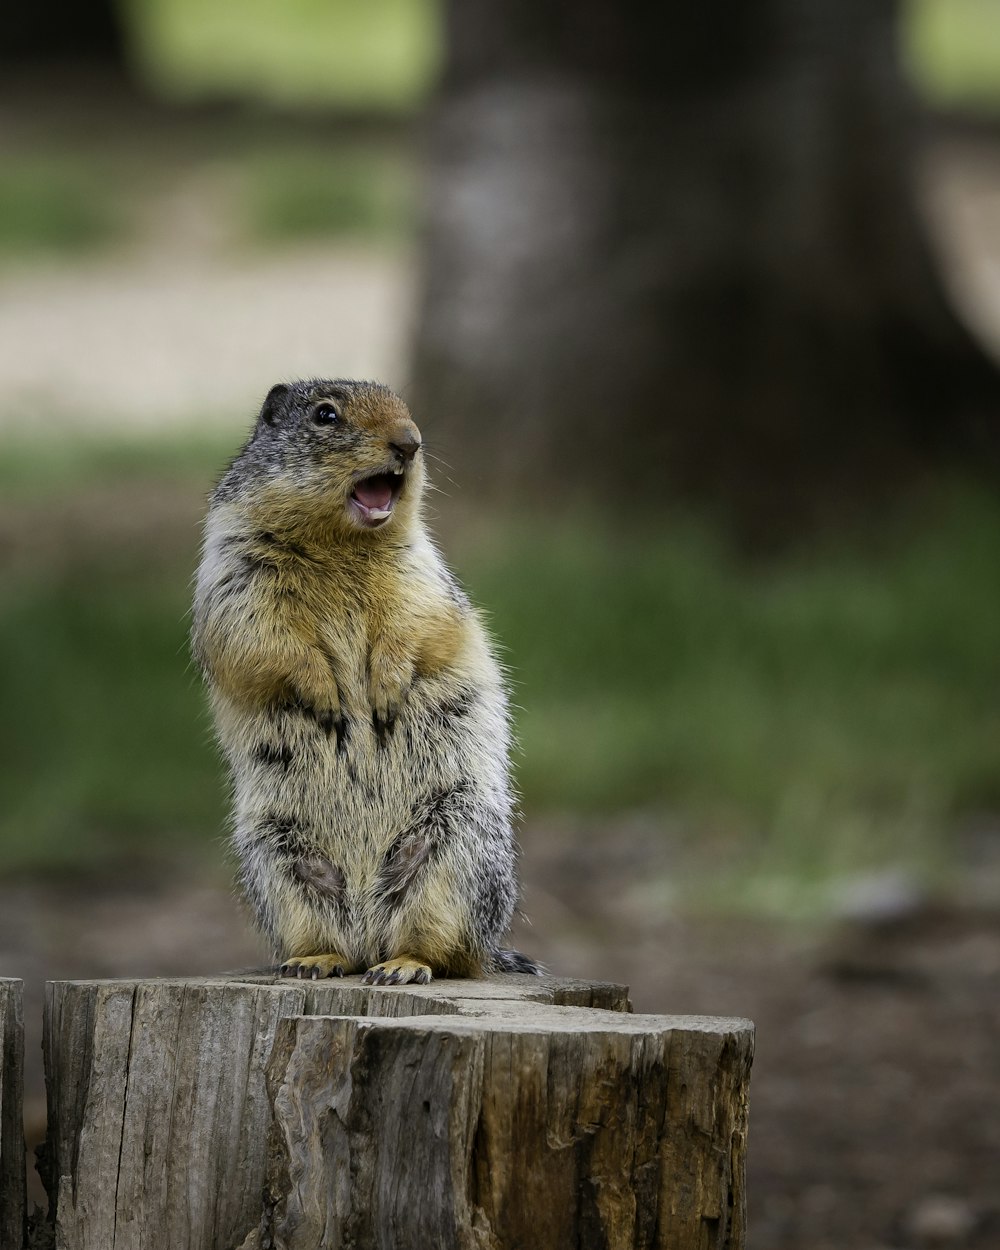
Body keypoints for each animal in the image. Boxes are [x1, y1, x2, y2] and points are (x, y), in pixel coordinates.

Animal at [193, 375, 540, 980]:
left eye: (406, 408)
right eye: (325, 415)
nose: (411, 441)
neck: (341, 541)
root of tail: (368, 928)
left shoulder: (418, 571)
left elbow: (417, 622)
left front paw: (385, 689)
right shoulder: (237, 572)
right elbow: (263, 639)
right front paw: (325, 695)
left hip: (458, 844)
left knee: (447, 953)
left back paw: (403, 965)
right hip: (277, 857)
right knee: (334, 940)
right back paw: (316, 960)